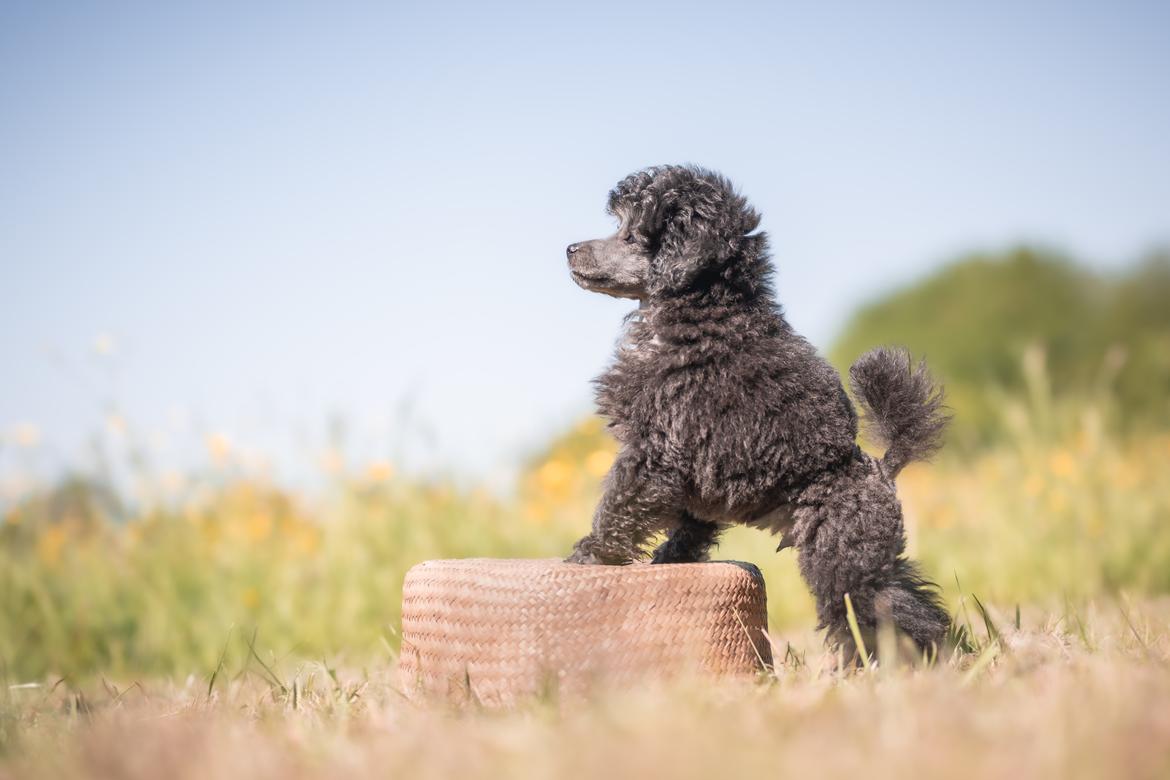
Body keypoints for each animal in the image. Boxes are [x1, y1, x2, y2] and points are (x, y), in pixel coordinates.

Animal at [563, 164, 950, 654]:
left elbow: (618, 506)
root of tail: (880, 469)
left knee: (880, 611)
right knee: (914, 603)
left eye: (632, 235)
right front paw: (667, 559)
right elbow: (690, 525)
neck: (703, 311)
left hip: (843, 555)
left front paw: (587, 554)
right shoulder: (691, 471)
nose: (570, 249)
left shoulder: (657, 448)